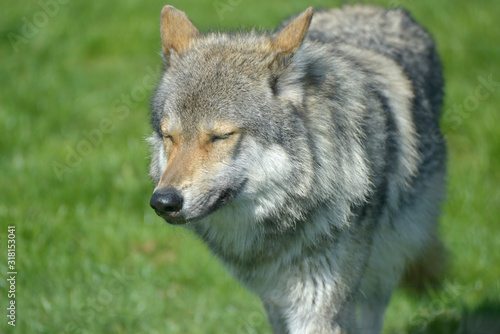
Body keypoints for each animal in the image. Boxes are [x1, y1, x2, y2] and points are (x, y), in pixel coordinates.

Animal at [146, 3, 448, 332]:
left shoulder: (318, 305)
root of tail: (370, 8)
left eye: (220, 136)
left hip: (382, 273)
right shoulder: (275, 301)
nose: (163, 201)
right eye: (169, 136)